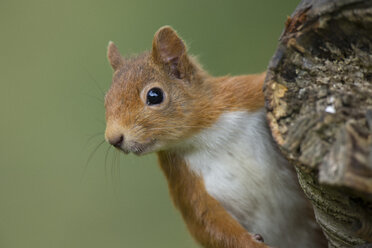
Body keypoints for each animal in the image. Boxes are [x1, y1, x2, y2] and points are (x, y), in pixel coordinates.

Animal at [104, 26, 326, 248]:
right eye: (106, 101)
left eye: (154, 95)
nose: (114, 139)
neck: (207, 136)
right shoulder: (184, 179)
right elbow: (207, 222)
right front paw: (251, 243)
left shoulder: (247, 93)